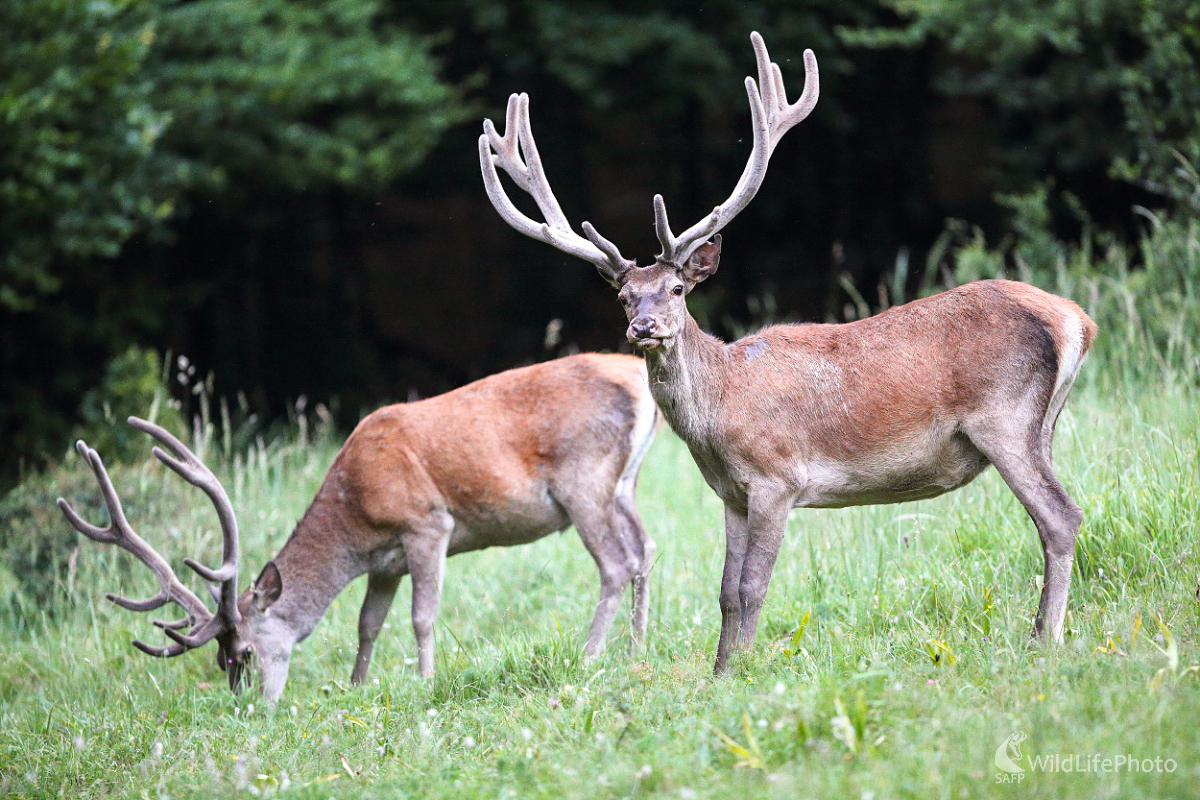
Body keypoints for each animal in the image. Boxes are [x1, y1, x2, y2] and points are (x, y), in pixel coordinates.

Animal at [56, 355, 657, 700]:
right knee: (646, 548)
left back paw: (589, 656)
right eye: (222, 657)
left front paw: (425, 682)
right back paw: (636, 648)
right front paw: (356, 686)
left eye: (243, 652)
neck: (355, 512)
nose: (247, 706)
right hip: (622, 484)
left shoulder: (427, 524)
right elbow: (367, 624)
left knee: (615, 562)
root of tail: (638, 375)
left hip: (581, 477)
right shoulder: (384, 563)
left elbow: (421, 617)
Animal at [477, 32, 1099, 676]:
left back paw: (1044, 638)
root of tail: (1075, 319)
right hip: (1042, 423)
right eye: (624, 297)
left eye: (676, 289)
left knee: (1061, 516)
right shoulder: (731, 493)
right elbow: (725, 590)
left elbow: (754, 586)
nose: (643, 327)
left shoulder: (778, 478)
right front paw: (720, 672)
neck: (719, 414)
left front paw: (746, 668)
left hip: (1003, 416)